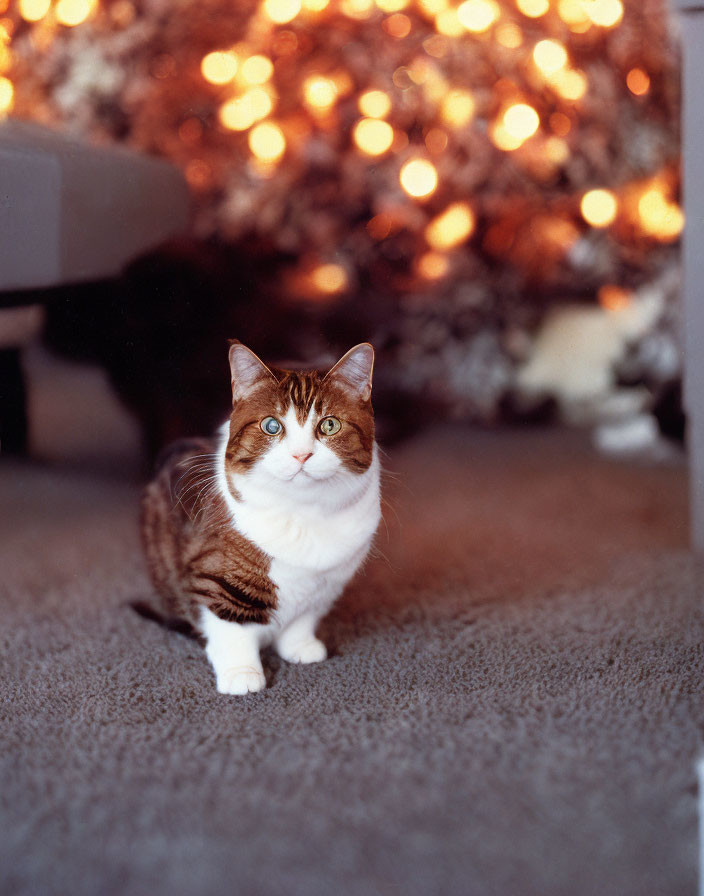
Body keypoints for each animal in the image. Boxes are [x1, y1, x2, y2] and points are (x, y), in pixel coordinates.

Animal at [138, 340, 380, 696]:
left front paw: (300, 646)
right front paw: (243, 674)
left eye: (330, 425)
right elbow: (231, 627)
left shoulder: (327, 584)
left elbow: (302, 620)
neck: (304, 512)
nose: (301, 455)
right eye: (271, 426)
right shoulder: (215, 578)